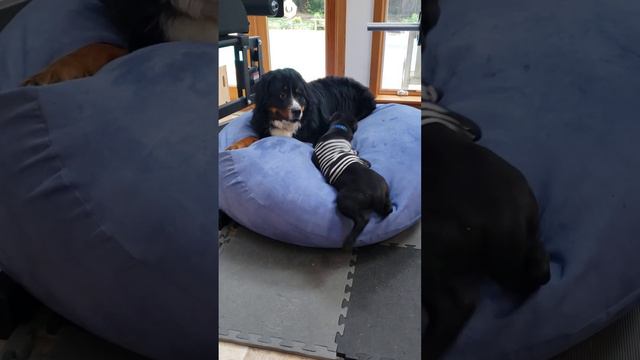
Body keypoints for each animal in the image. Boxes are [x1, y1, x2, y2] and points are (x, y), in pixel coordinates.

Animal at [312, 112, 392, 248]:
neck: (338, 129)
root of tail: (378, 195)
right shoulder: (355, 152)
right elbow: (363, 159)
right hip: (385, 190)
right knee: (389, 208)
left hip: (344, 200)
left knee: (362, 220)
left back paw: (349, 241)